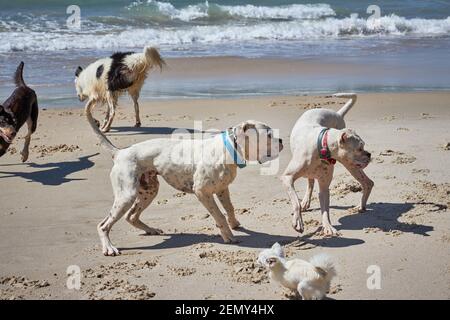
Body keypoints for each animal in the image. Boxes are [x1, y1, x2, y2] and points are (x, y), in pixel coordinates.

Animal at [84, 102, 284, 255]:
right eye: (269, 135)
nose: (282, 141)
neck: (227, 149)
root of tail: (119, 153)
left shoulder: (222, 189)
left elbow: (229, 208)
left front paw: (235, 225)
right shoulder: (202, 193)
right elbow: (219, 215)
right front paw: (228, 236)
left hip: (149, 191)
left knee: (131, 216)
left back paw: (151, 230)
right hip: (126, 195)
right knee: (104, 225)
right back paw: (109, 247)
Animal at [282, 94, 372, 236]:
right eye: (359, 148)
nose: (369, 155)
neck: (322, 146)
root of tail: (337, 113)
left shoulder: (324, 188)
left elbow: (325, 209)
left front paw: (328, 226)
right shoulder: (287, 177)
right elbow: (296, 201)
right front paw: (298, 221)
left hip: (350, 165)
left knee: (368, 183)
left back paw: (361, 207)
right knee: (310, 183)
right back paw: (305, 202)